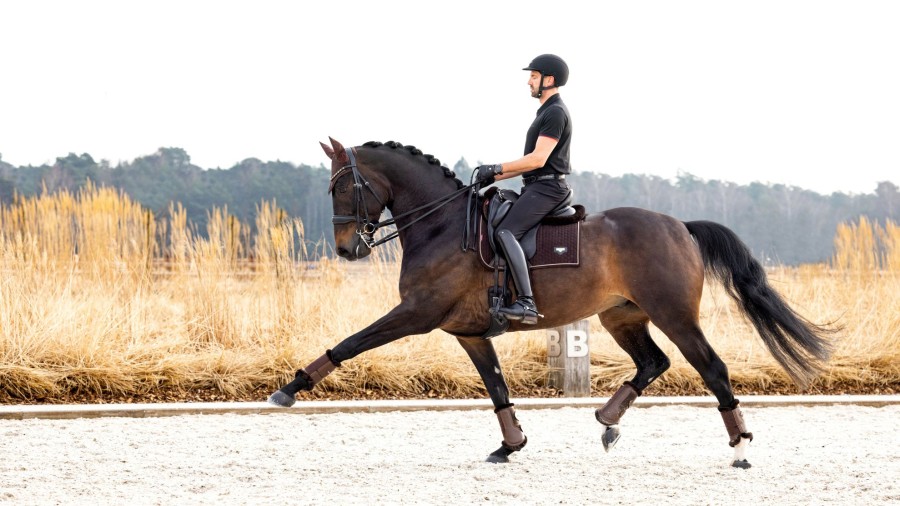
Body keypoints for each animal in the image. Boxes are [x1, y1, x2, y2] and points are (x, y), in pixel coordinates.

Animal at [270, 137, 832, 466]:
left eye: (344, 187)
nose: (348, 250)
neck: (440, 223)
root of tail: (680, 226)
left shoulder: (416, 314)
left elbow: (351, 344)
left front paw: (289, 389)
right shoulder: (469, 332)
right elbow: (496, 387)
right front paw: (510, 444)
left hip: (674, 314)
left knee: (710, 367)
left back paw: (740, 445)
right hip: (621, 315)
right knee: (653, 362)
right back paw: (607, 421)